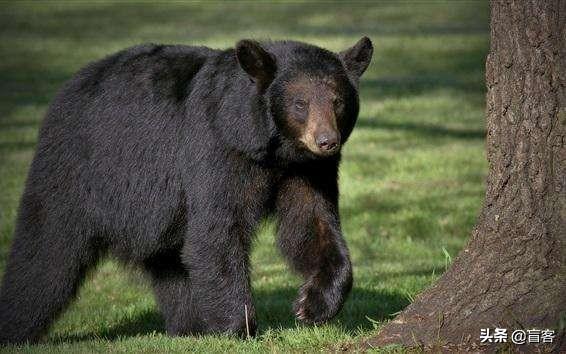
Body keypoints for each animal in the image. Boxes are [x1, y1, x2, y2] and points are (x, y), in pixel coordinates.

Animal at [0, 37, 372, 344]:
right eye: (300, 103)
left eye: (338, 100)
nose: (326, 141)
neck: (272, 148)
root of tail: (66, 90)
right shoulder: (216, 149)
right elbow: (216, 231)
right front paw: (241, 329)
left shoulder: (308, 171)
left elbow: (312, 224)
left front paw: (312, 305)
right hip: (75, 172)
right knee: (47, 251)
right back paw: (16, 327)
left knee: (172, 266)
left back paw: (190, 327)